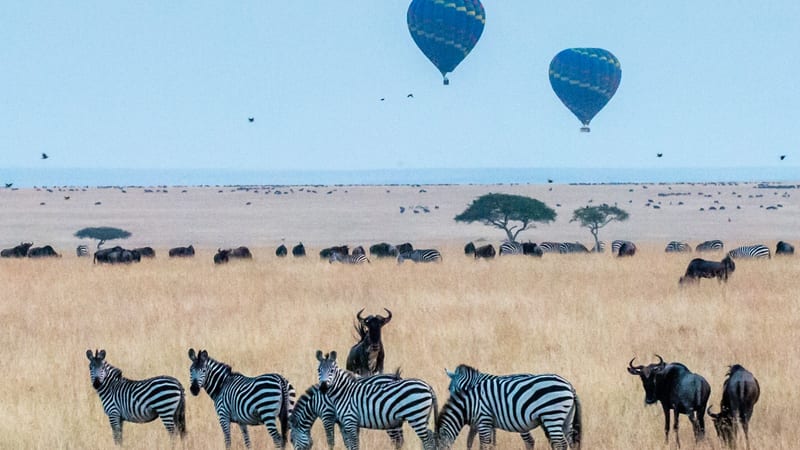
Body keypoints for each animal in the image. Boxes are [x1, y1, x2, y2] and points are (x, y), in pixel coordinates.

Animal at [437, 368, 581, 450]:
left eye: (450, 389)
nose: (454, 398)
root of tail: (569, 386)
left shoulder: (484, 419)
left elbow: (483, 444)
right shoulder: (486, 422)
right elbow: (483, 442)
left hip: (552, 415)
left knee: (558, 443)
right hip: (565, 419)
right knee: (570, 442)